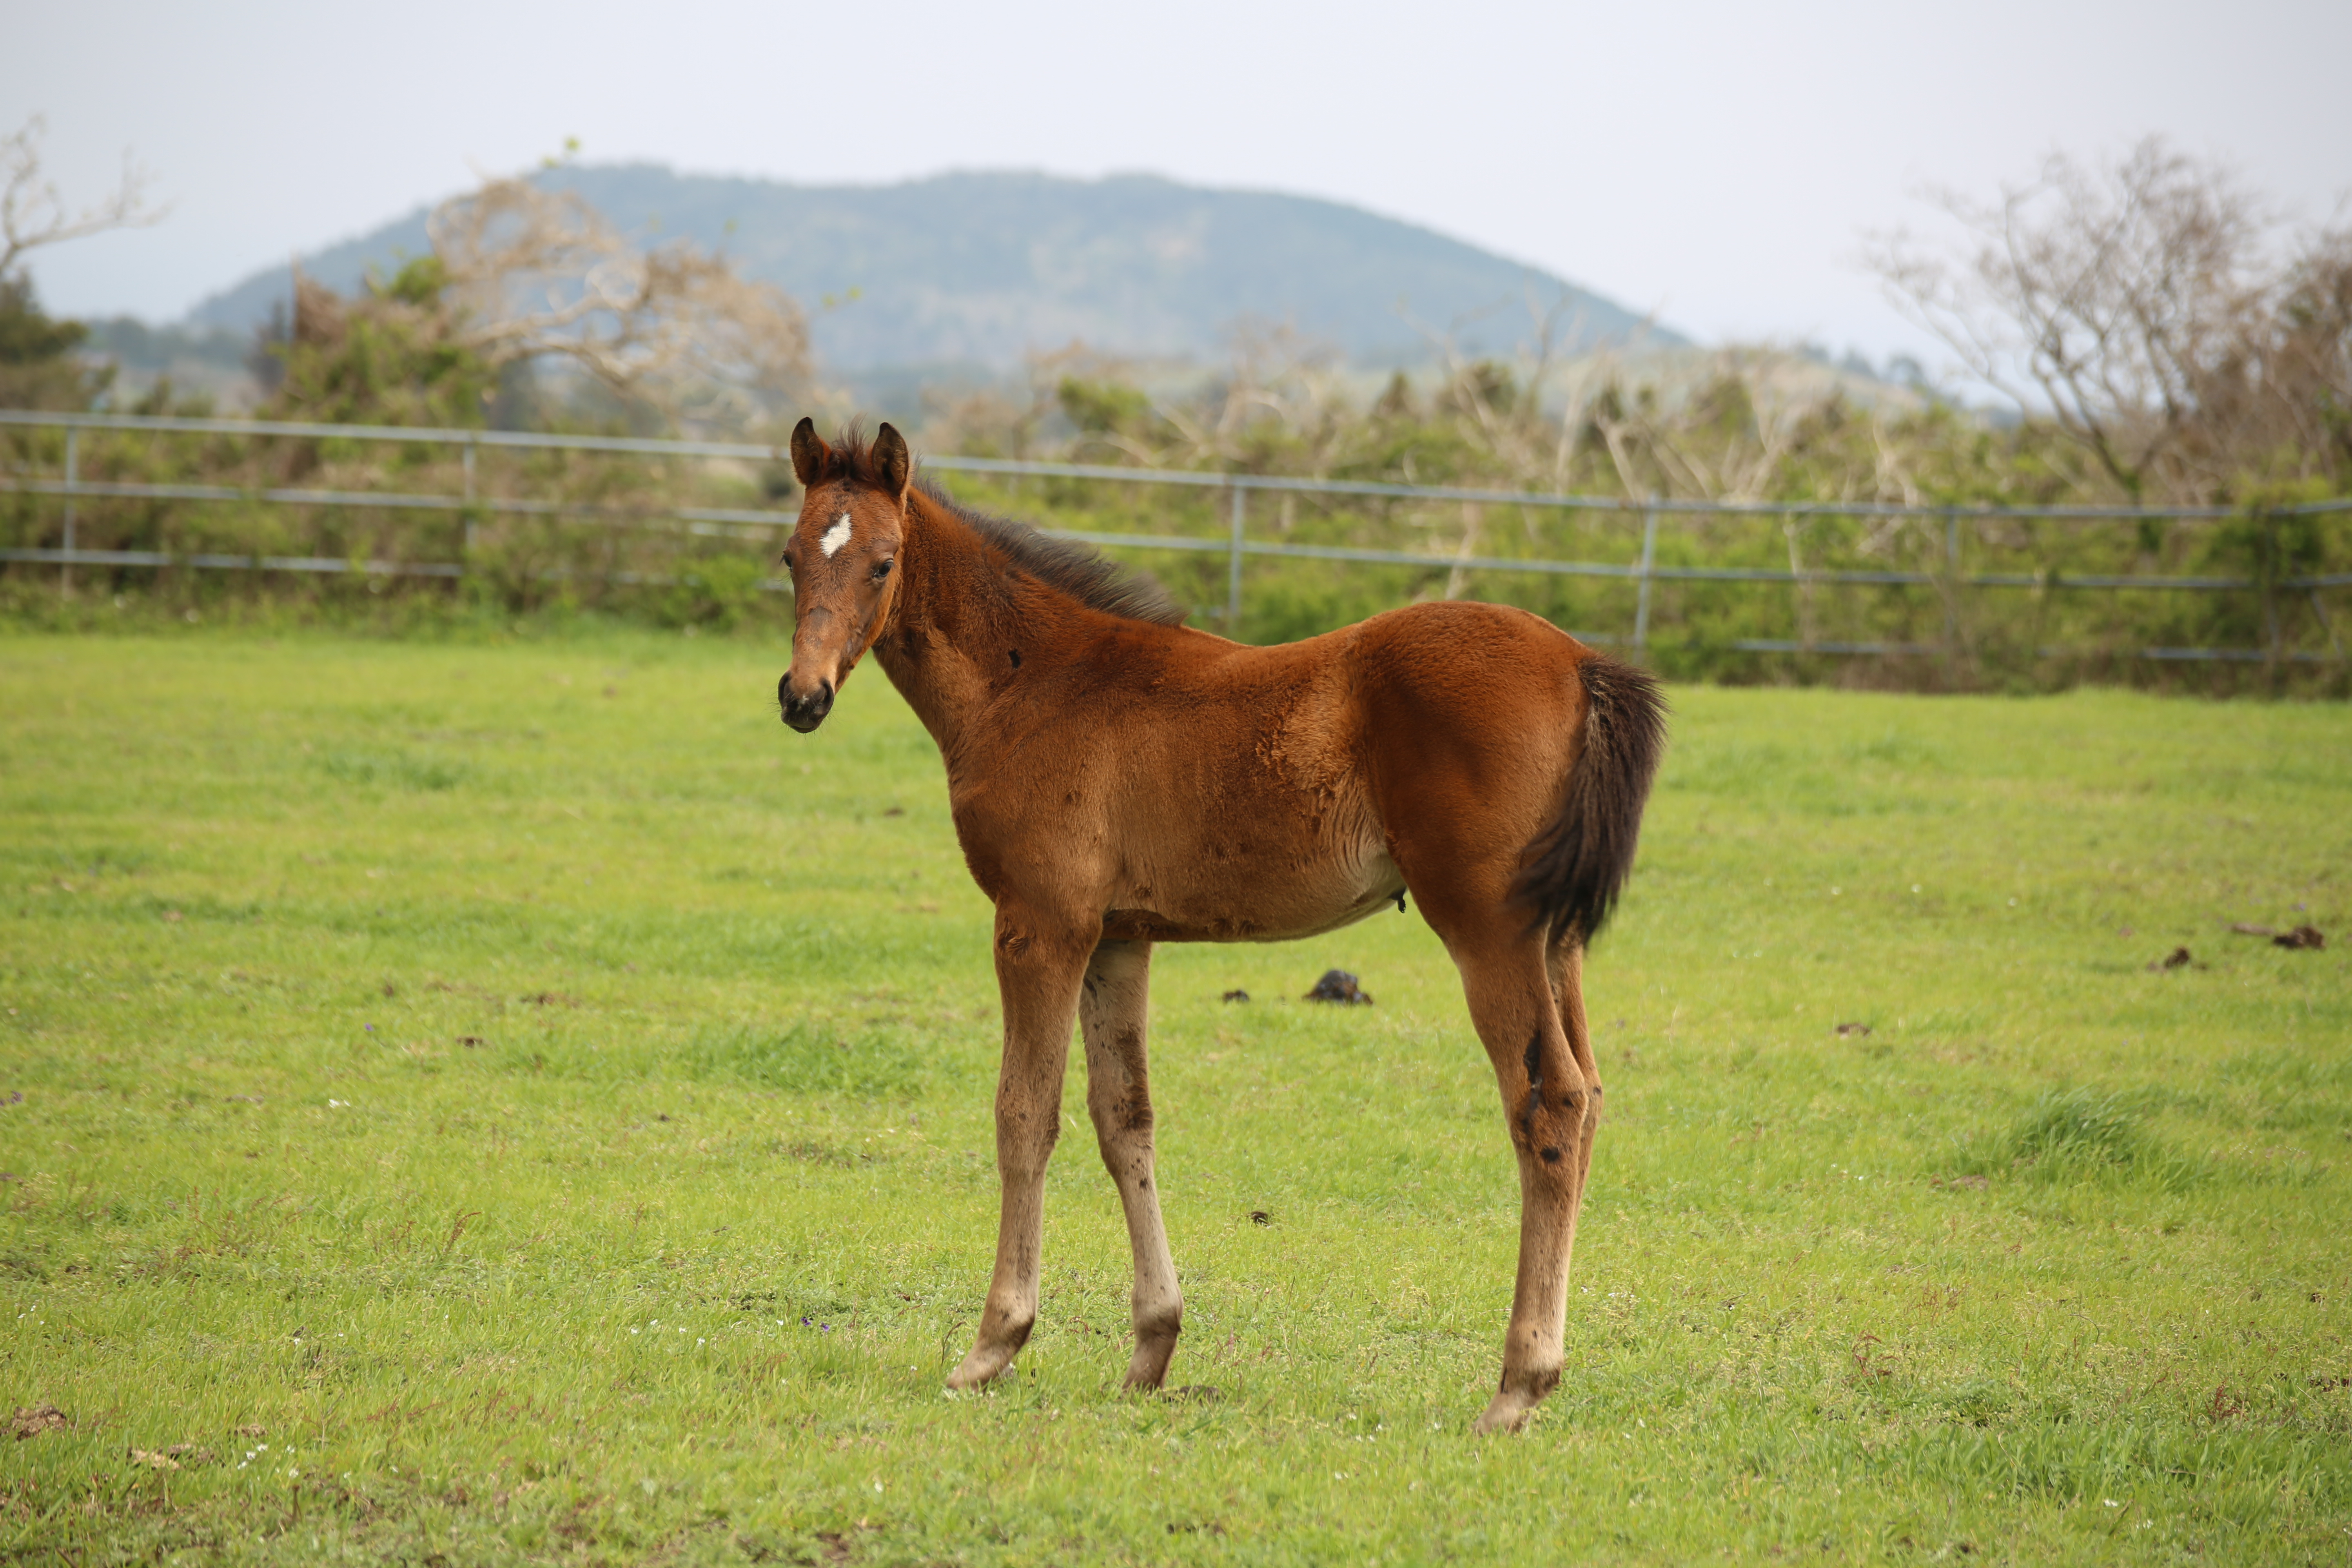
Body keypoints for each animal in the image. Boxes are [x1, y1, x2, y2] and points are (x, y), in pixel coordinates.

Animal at [781, 421, 1665, 1439]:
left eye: (883, 563)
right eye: (791, 555)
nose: (801, 697)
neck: (1033, 681)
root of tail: (1581, 662)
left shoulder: (1039, 924)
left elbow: (1025, 1113)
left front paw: (993, 1344)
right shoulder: (1117, 937)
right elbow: (1124, 1117)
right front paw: (1151, 1348)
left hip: (1489, 928)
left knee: (1547, 1101)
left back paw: (1519, 1384)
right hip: (1556, 939)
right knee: (1589, 1092)